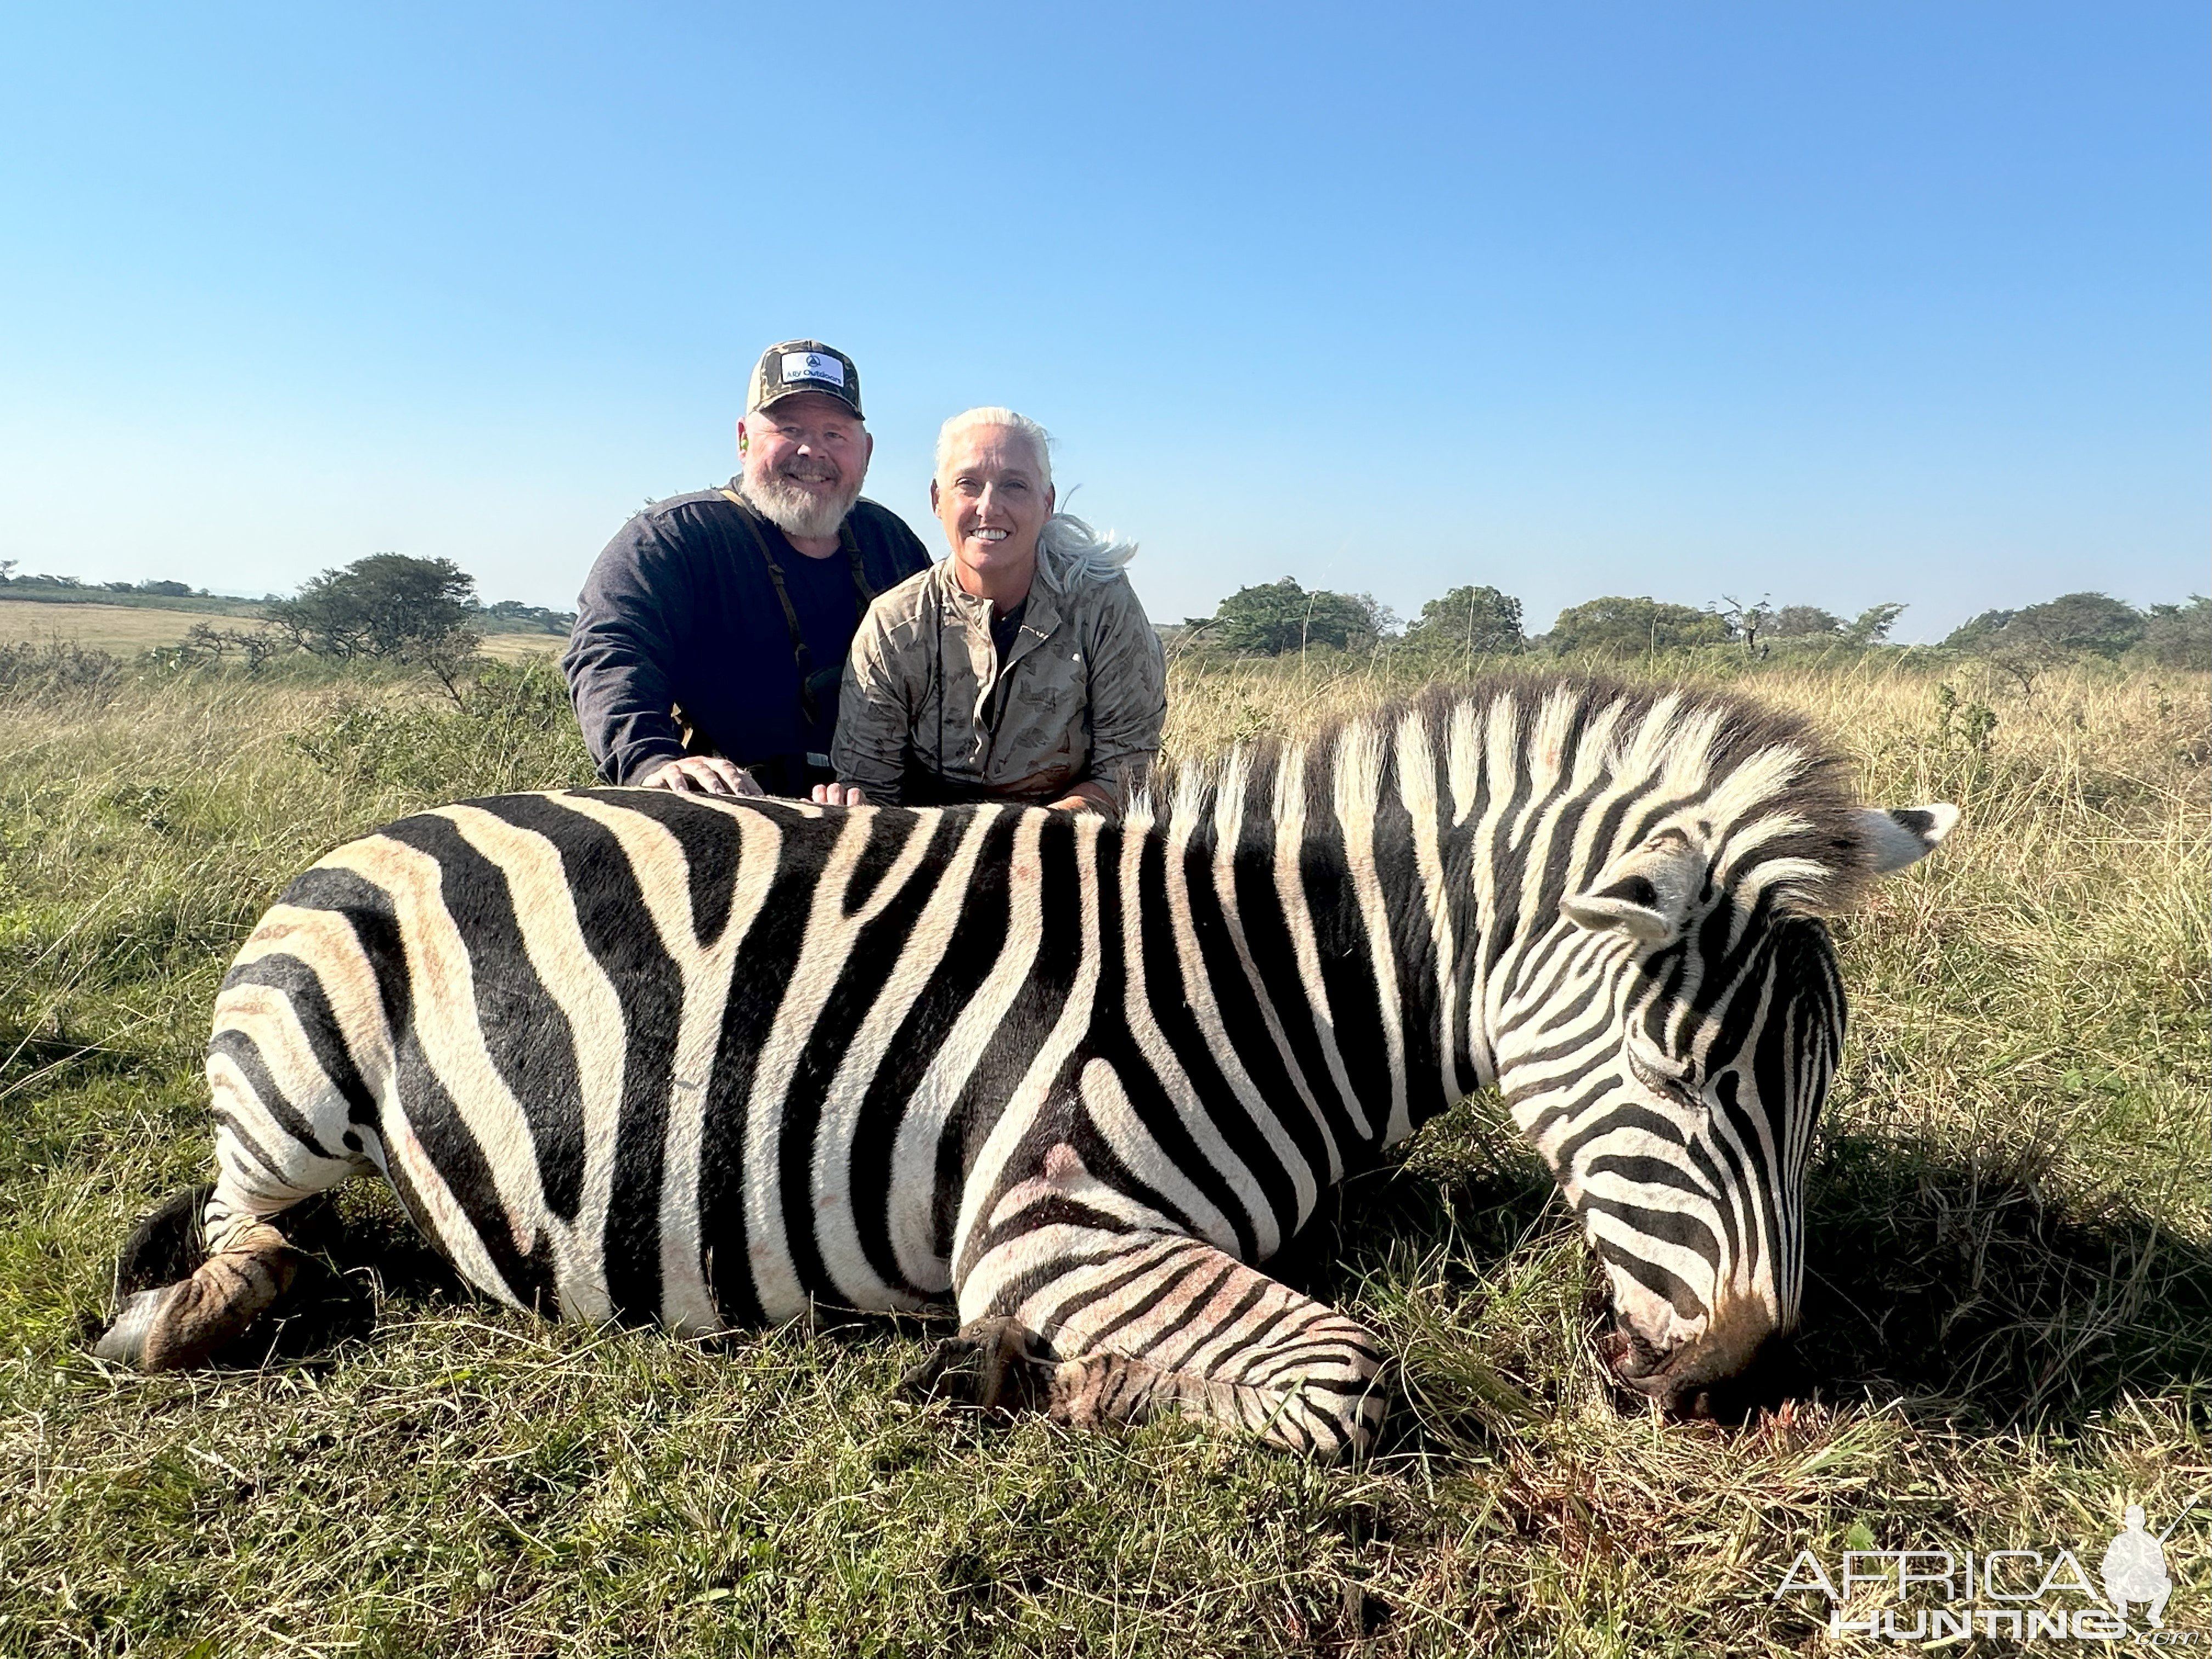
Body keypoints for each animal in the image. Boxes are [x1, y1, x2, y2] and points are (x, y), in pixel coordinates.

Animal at [95, 676, 1955, 1451]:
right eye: (1681, 1072)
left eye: (1816, 1086)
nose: (1738, 1382)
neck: (1268, 975)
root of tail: (393, 817)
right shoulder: (1047, 1213)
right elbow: (1349, 1373)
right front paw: (1020, 1376)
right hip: (291, 1071)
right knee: (239, 1233)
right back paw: (212, 1313)